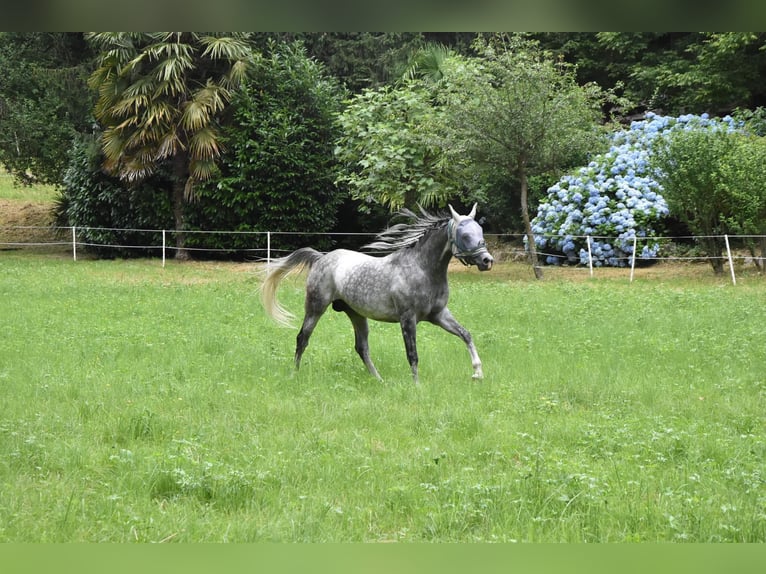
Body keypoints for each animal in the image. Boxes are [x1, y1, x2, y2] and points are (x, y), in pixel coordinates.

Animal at [260, 205, 496, 384]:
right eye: (465, 235)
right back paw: (294, 374)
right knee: (303, 338)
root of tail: (320, 258)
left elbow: (466, 335)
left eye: (481, 231)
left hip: (356, 314)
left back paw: (379, 380)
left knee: (361, 347)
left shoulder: (438, 315)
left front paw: (478, 373)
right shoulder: (407, 318)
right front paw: (417, 386)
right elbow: (412, 354)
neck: (422, 269)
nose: (487, 261)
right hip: (315, 308)